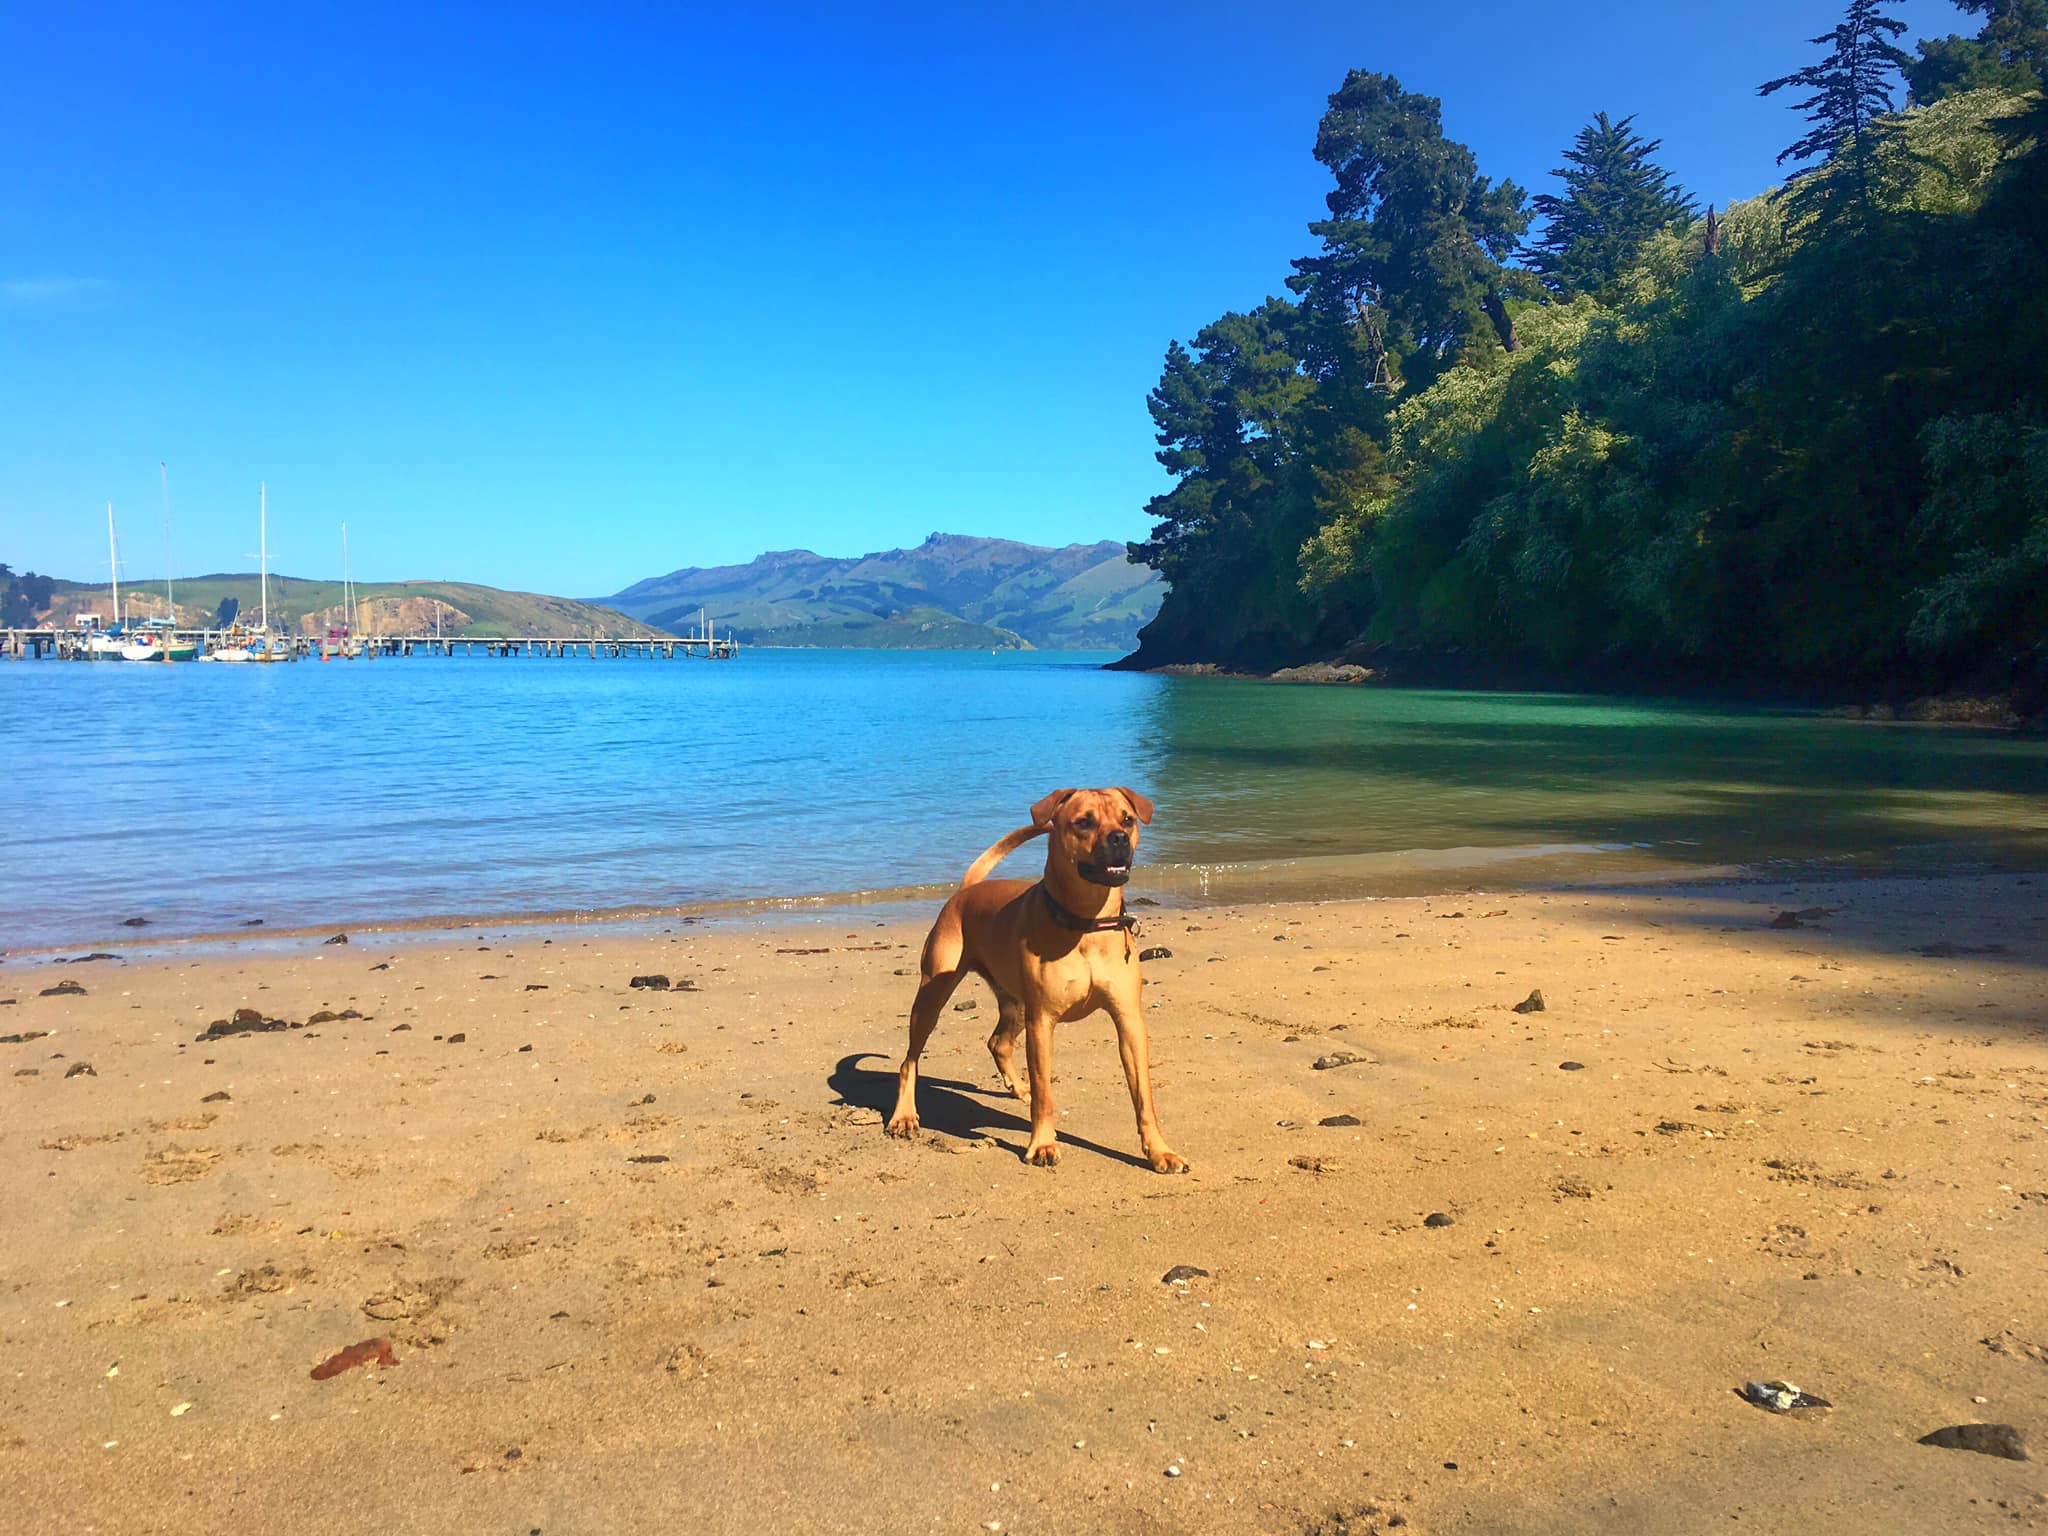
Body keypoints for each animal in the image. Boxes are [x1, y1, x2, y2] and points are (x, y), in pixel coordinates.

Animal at [880, 786, 1187, 1171]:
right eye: (1084, 822)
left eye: (1127, 819)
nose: (1118, 838)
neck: (1087, 923)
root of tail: (965, 891)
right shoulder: (1042, 1022)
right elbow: (1045, 1093)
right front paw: (1042, 1144)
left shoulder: (1129, 1020)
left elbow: (1143, 1096)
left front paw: (1159, 1150)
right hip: (933, 995)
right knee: (910, 1060)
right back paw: (904, 1115)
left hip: (1016, 1003)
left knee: (997, 1042)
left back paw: (1017, 1086)